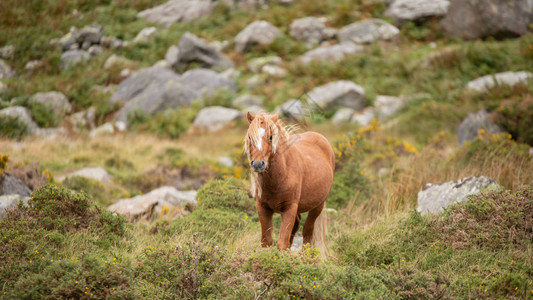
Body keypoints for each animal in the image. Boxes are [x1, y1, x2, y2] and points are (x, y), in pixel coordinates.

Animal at [244, 111, 334, 256]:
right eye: (250, 138)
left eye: (271, 137)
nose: (258, 164)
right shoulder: (262, 208)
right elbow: (267, 242)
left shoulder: (289, 209)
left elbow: (281, 243)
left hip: (318, 206)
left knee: (307, 232)